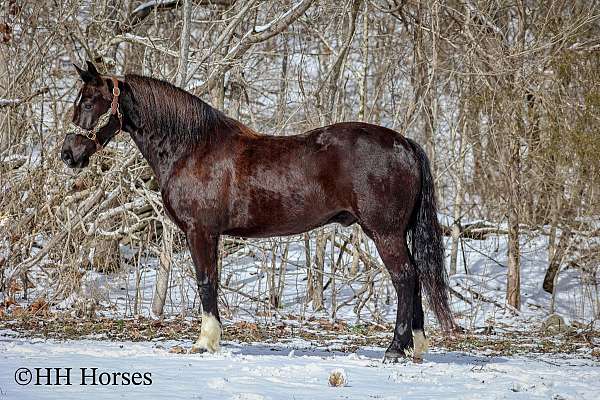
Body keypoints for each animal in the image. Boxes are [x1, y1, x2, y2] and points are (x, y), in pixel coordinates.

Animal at [62, 61, 454, 362]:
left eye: (91, 101)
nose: (68, 154)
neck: (192, 148)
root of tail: (404, 144)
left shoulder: (201, 231)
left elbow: (206, 282)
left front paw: (205, 342)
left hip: (384, 232)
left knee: (405, 278)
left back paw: (395, 348)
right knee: (415, 276)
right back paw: (416, 347)